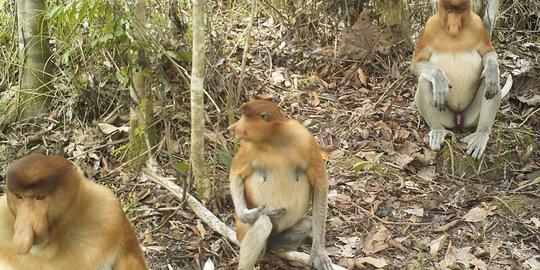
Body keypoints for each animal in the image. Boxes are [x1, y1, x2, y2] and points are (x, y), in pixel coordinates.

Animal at [228, 99, 334, 270]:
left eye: (244, 118)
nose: (233, 127)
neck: (274, 140)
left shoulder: (306, 141)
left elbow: (320, 184)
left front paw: (319, 253)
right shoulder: (248, 147)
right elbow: (236, 175)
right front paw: (250, 214)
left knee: (307, 223)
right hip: (241, 232)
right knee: (263, 224)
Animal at [414, 0, 502, 158]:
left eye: (460, 11)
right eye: (449, 11)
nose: (454, 26)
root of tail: (459, 118)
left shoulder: (478, 25)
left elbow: (489, 53)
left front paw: (492, 69)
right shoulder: (430, 27)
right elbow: (416, 63)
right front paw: (440, 80)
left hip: (471, 116)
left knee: (491, 83)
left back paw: (481, 134)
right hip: (446, 117)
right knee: (424, 81)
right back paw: (438, 130)